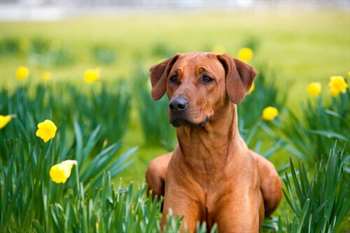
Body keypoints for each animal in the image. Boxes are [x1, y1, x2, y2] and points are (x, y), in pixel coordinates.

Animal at [144, 52, 282, 232]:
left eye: (206, 78)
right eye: (173, 78)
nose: (176, 104)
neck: (205, 156)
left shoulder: (239, 224)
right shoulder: (178, 220)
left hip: (272, 178)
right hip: (153, 168)